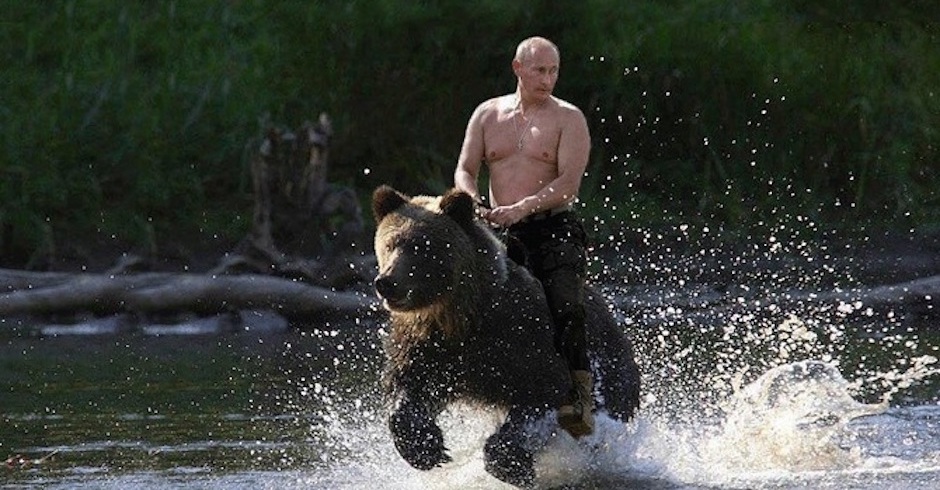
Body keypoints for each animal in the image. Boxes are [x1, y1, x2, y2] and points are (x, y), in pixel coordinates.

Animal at [371, 185, 641, 487]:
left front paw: (512, 465)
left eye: (421, 246)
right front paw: (426, 448)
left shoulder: (521, 337)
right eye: (389, 244)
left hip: (608, 367)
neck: (460, 315)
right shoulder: (429, 345)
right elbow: (410, 386)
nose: (387, 282)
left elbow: (542, 391)